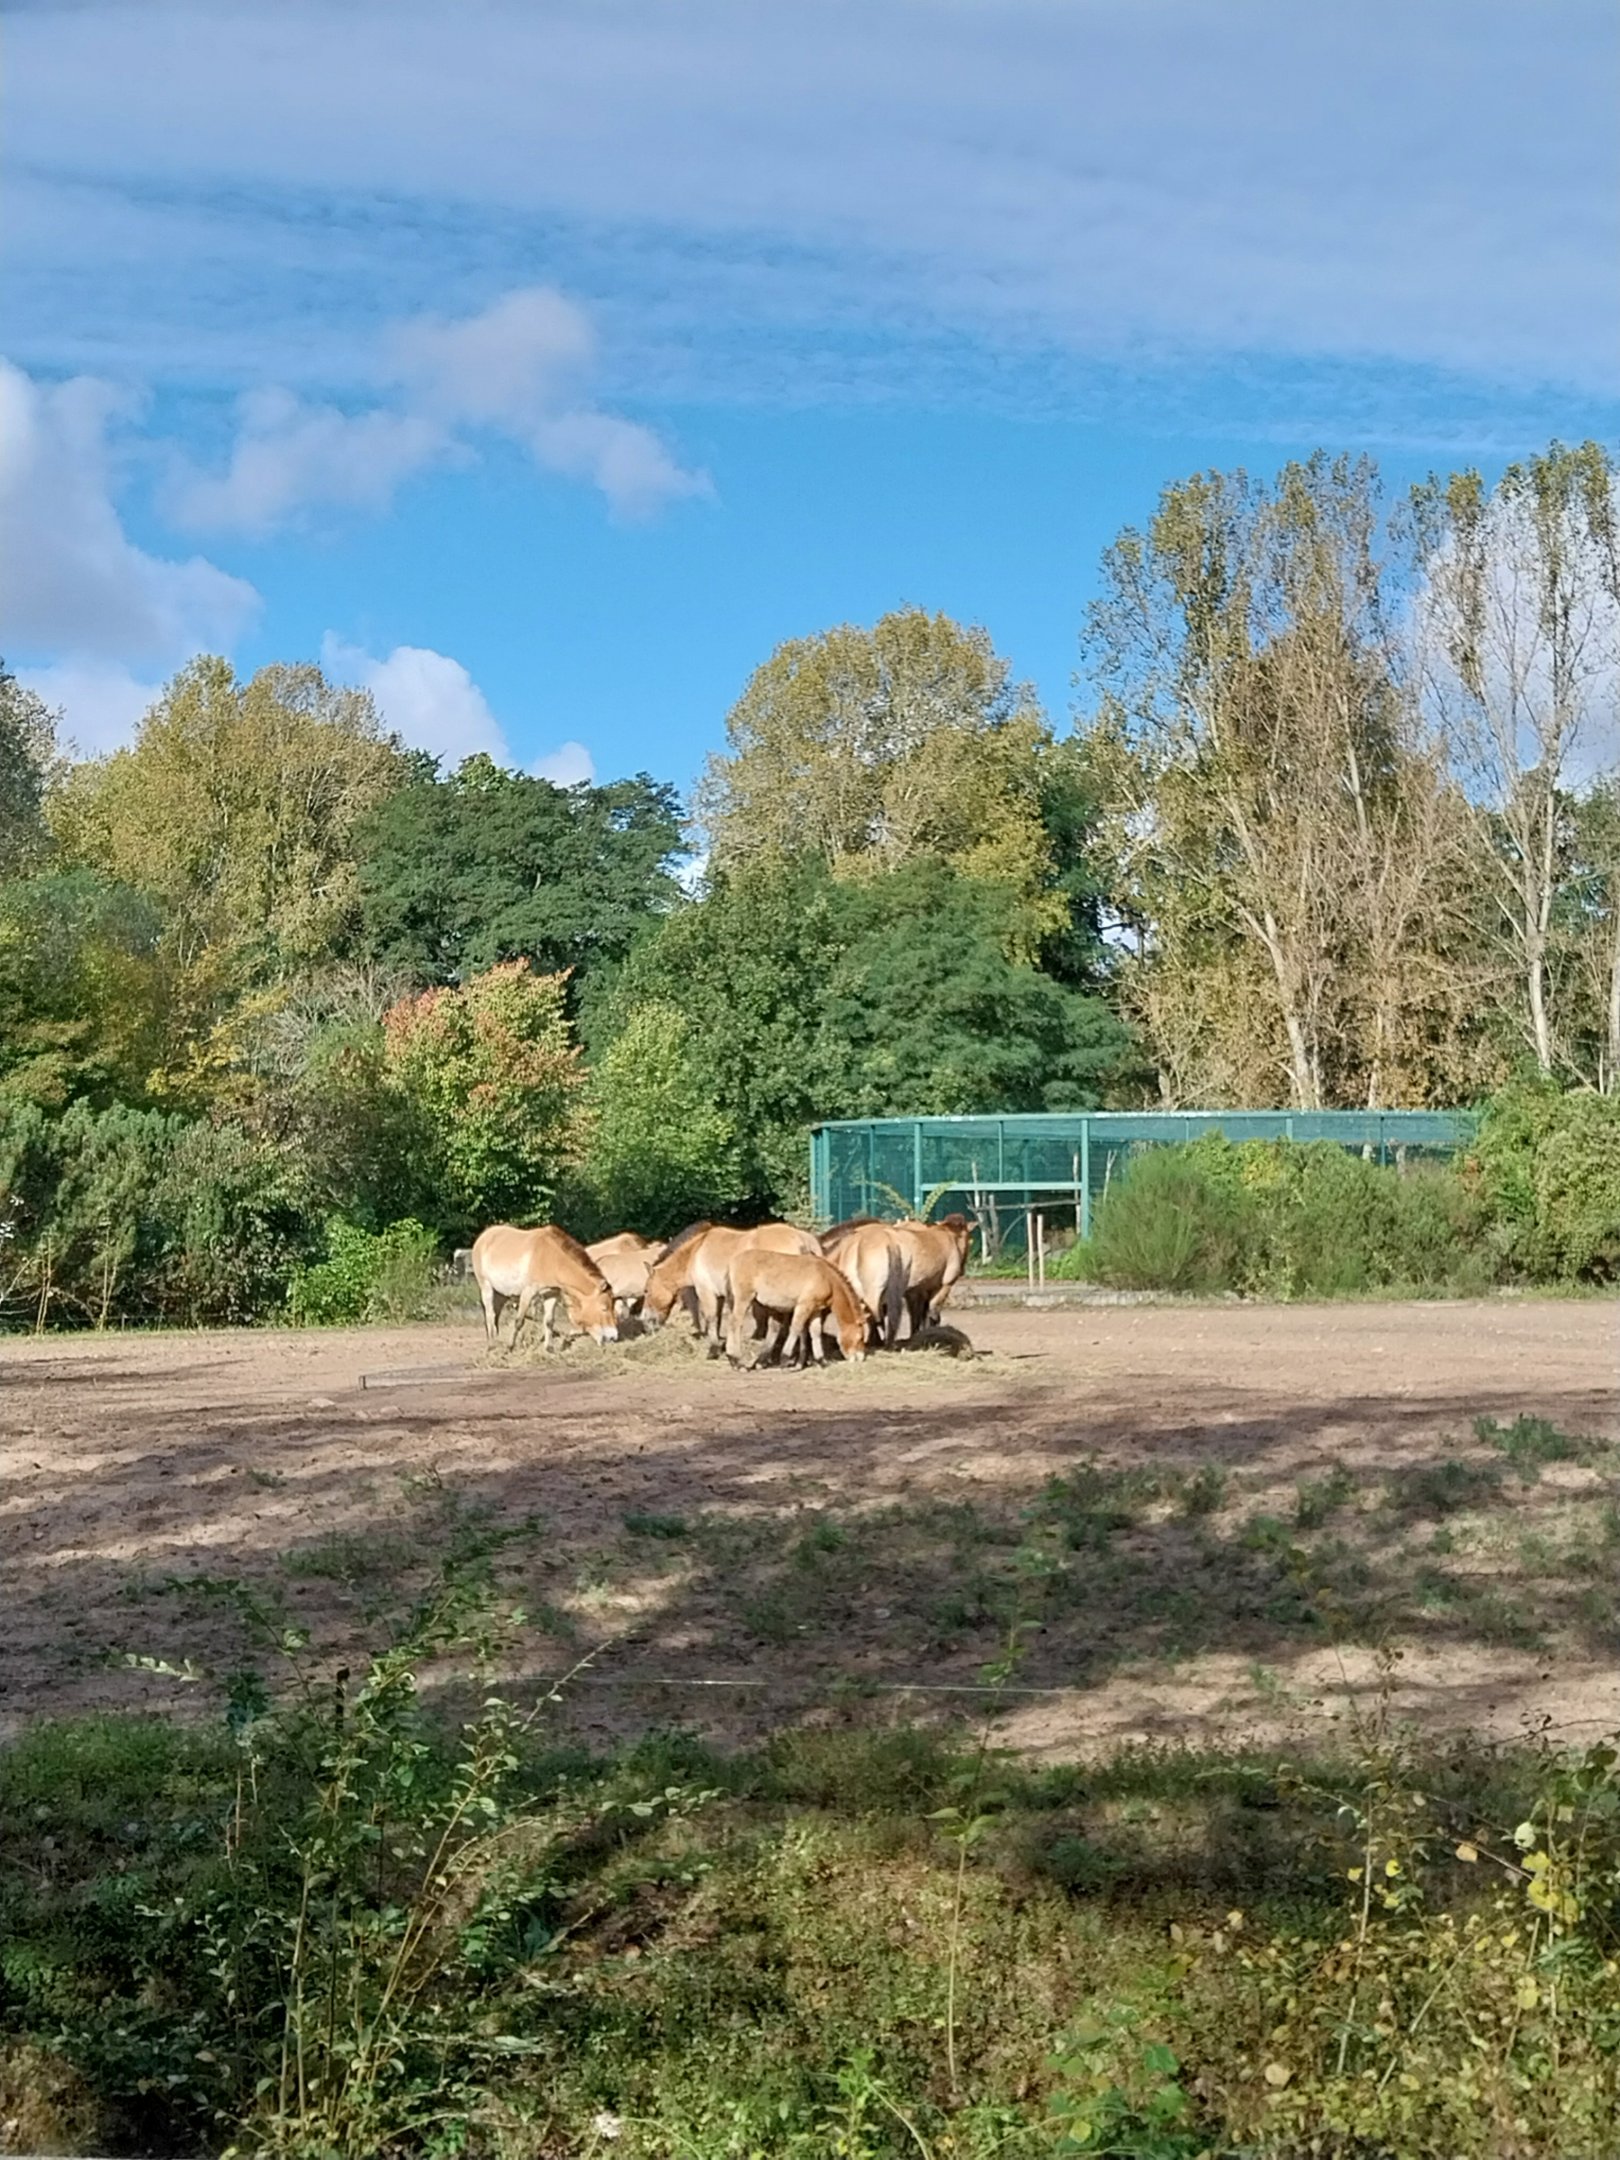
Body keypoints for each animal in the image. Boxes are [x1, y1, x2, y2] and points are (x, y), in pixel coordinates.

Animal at [470, 1225, 619, 1351]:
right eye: (604, 1308)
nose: (613, 1337)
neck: (550, 1258)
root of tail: (484, 1236)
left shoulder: (551, 1294)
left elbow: (549, 1321)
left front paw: (549, 1348)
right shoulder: (528, 1292)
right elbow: (519, 1321)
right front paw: (510, 1347)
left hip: (502, 1293)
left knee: (495, 1314)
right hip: (486, 1287)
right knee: (490, 1314)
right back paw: (491, 1346)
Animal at [724, 1248, 869, 1368]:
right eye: (860, 1337)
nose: (860, 1358)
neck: (826, 1278)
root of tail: (733, 1261)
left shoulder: (816, 1309)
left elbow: (815, 1331)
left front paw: (821, 1361)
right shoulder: (804, 1305)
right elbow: (796, 1328)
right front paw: (785, 1358)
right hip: (744, 1299)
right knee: (735, 1324)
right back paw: (736, 1361)